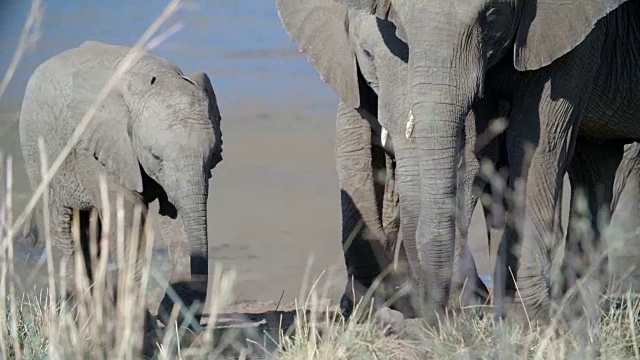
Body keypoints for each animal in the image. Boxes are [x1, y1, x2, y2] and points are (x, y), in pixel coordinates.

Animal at [18, 40, 222, 330]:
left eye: (213, 154)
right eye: (155, 155)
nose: (166, 314)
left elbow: (176, 218)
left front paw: (169, 320)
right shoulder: (96, 149)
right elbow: (129, 217)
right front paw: (143, 326)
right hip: (39, 156)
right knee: (65, 229)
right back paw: (80, 317)